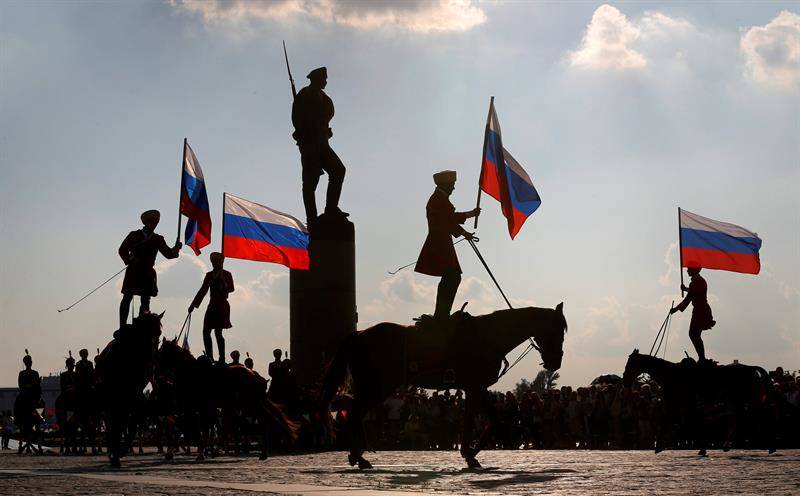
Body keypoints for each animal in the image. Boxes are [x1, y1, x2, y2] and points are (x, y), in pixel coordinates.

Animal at [93, 312, 163, 466]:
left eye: (159, 333)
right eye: (145, 332)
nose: (153, 359)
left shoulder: (135, 397)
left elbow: (133, 423)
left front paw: (121, 450)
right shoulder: (117, 399)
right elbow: (117, 424)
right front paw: (115, 454)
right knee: (112, 423)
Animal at [153, 340, 296, 460]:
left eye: (161, 352)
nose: (156, 373)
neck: (191, 373)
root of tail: (254, 375)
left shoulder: (194, 408)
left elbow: (195, 429)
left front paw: (200, 453)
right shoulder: (191, 409)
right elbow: (188, 427)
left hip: (250, 404)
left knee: (260, 421)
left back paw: (262, 452)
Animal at [318, 302, 568, 468]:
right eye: (558, 331)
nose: (555, 362)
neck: (489, 336)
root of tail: (359, 334)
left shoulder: (476, 388)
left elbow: (490, 419)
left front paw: (470, 453)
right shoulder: (475, 386)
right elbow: (478, 421)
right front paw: (470, 454)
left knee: (355, 413)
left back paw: (358, 454)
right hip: (378, 386)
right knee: (355, 413)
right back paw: (359, 456)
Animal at [620, 348, 776, 454]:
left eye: (630, 362)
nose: (625, 379)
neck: (671, 374)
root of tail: (751, 368)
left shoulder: (676, 404)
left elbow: (680, 421)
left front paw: (659, 446)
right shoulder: (682, 404)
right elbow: (687, 421)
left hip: (747, 399)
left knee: (760, 416)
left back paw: (769, 446)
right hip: (740, 401)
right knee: (742, 417)